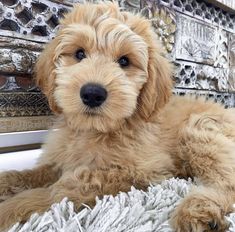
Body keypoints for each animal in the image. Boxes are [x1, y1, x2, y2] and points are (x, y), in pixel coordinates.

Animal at [0, 2, 235, 232]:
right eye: (79, 54)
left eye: (124, 61)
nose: (92, 93)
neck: (96, 130)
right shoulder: (61, 160)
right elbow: (33, 173)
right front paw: (5, 182)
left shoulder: (145, 170)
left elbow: (64, 189)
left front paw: (13, 208)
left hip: (199, 131)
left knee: (227, 182)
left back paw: (198, 209)